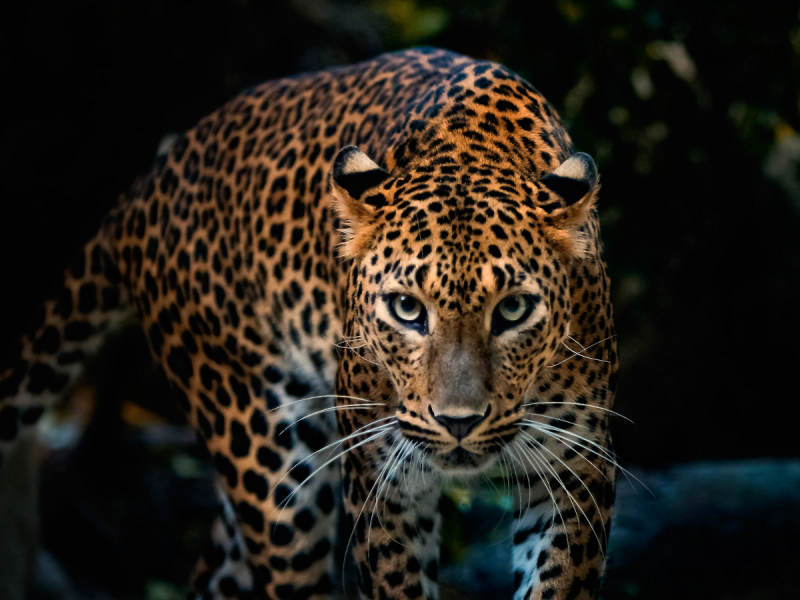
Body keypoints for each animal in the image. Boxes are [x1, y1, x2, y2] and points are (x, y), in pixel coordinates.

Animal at [0, 47, 618, 600]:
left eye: (512, 309)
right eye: (407, 309)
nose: (458, 422)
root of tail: (150, 181)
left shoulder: (576, 469)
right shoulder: (381, 481)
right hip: (265, 453)